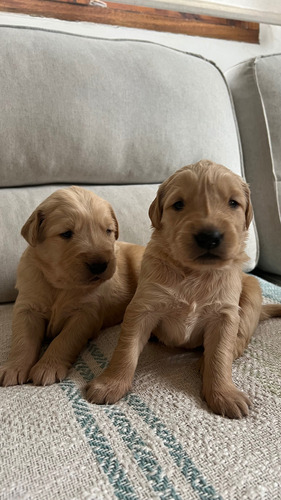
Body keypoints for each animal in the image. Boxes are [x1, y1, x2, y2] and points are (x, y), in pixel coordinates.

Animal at [0, 188, 144, 386]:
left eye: (108, 231)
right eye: (67, 234)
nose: (100, 265)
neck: (61, 285)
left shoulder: (86, 314)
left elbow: (64, 339)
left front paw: (48, 367)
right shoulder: (26, 307)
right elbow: (23, 340)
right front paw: (13, 367)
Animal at [86, 160, 280, 418]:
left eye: (233, 203)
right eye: (178, 204)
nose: (209, 237)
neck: (194, 273)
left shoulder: (225, 314)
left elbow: (221, 354)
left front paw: (224, 393)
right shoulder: (143, 306)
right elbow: (125, 349)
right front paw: (110, 383)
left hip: (251, 294)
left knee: (239, 340)